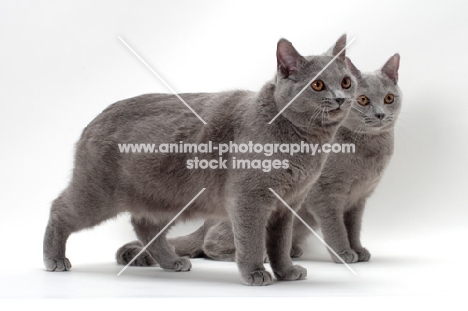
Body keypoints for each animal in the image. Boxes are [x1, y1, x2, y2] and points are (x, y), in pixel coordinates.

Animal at [44, 34, 358, 286]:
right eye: (317, 85)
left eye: (346, 81)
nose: (341, 98)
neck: (305, 143)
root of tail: (94, 119)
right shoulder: (249, 199)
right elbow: (253, 241)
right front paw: (256, 273)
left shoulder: (287, 206)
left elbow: (279, 244)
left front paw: (287, 272)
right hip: (98, 193)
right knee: (59, 209)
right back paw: (54, 259)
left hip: (165, 199)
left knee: (146, 226)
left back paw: (171, 262)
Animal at [115, 53, 400, 266]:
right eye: (363, 99)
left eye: (389, 98)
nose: (380, 114)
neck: (369, 151)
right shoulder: (325, 195)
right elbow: (336, 228)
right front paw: (344, 254)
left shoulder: (358, 200)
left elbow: (353, 227)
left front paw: (358, 250)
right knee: (211, 244)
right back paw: (256, 256)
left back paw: (289, 251)